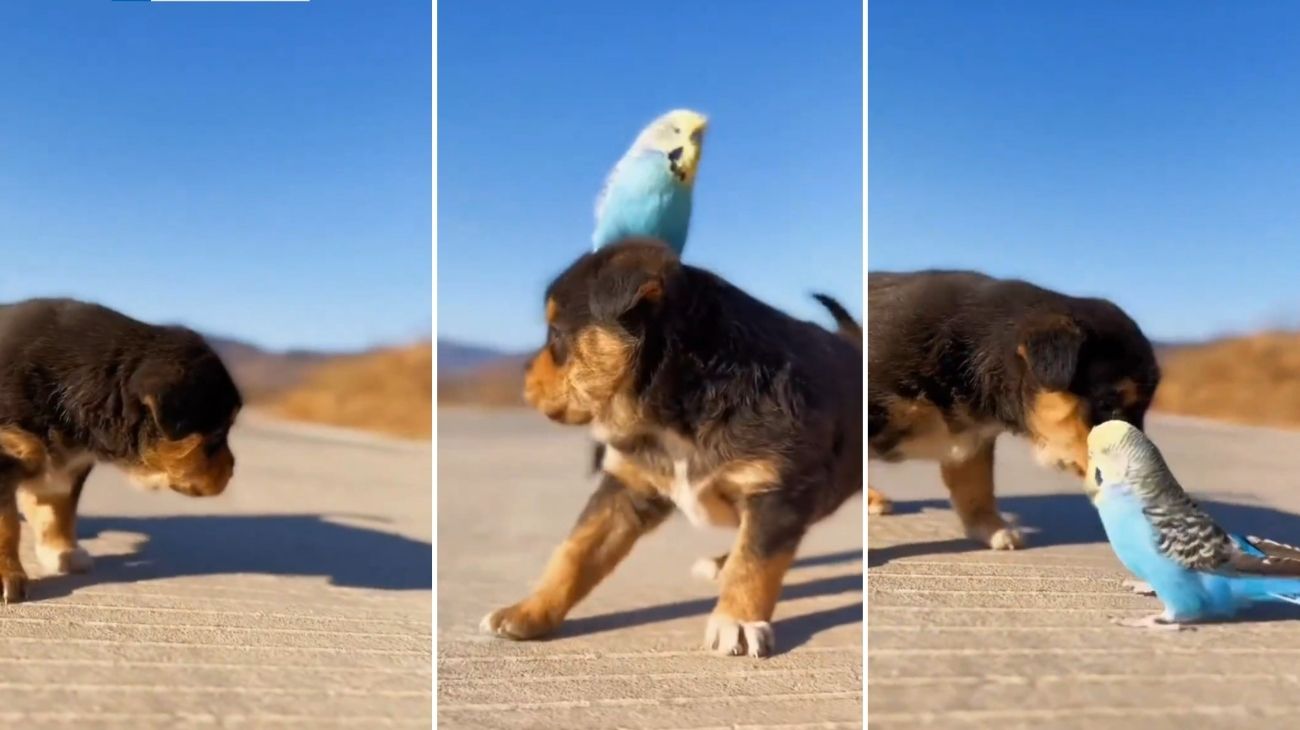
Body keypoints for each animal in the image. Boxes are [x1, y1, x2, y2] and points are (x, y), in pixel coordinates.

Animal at [0, 298, 243, 600]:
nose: (233, 468)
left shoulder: (67, 467)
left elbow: (57, 510)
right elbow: (7, 523)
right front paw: (8, 575)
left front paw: (63, 553)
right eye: (218, 432)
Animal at [478, 239, 863, 654]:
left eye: (557, 335)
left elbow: (754, 563)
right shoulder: (626, 488)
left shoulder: (776, 491)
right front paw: (528, 611)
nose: (523, 375)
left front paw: (737, 621)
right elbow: (576, 552)